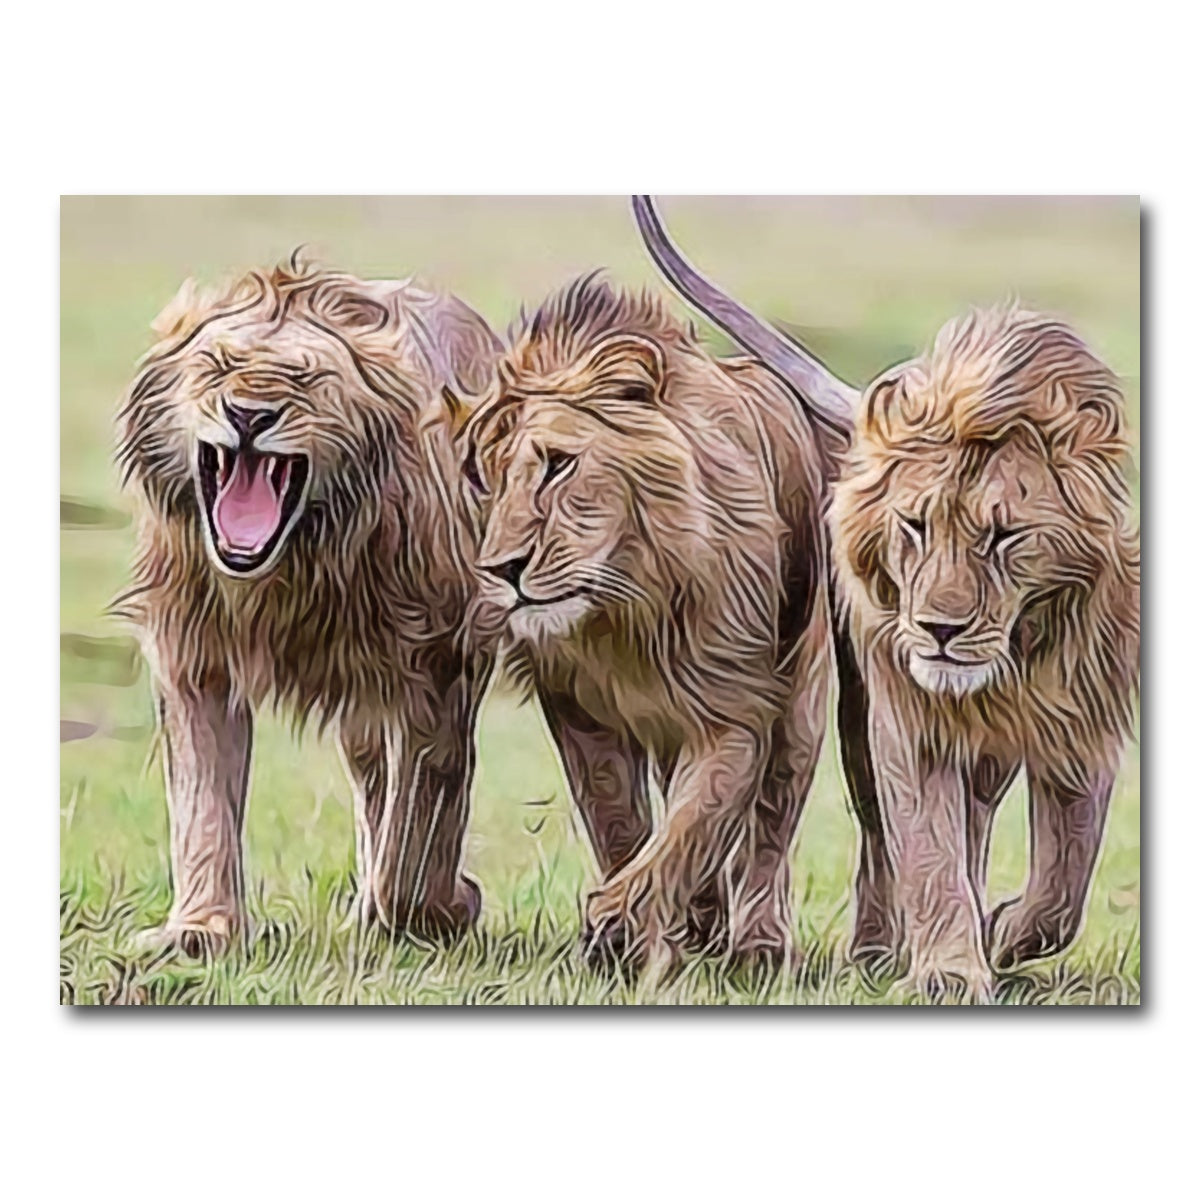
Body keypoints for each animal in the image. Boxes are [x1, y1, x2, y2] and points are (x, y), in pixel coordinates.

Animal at [115, 257, 502, 953]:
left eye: (305, 377)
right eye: (218, 364)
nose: (247, 415)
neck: (290, 568)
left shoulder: (438, 665)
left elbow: (422, 821)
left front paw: (443, 908)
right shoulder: (194, 656)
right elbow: (202, 800)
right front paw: (200, 929)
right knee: (372, 778)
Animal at [455, 273, 849, 968]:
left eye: (558, 463)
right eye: (487, 479)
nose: (503, 569)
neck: (627, 607)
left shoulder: (735, 708)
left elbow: (695, 821)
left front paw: (618, 919)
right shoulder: (577, 710)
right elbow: (621, 821)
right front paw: (633, 929)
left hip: (801, 699)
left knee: (773, 822)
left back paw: (758, 943)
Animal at [632, 197, 1140, 999]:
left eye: (1003, 535)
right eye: (915, 524)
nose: (938, 630)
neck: (1017, 654)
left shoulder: (1085, 723)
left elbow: (1065, 880)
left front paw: (1004, 932)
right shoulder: (908, 718)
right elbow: (926, 843)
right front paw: (950, 970)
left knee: (981, 817)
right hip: (854, 704)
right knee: (882, 826)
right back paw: (877, 949)